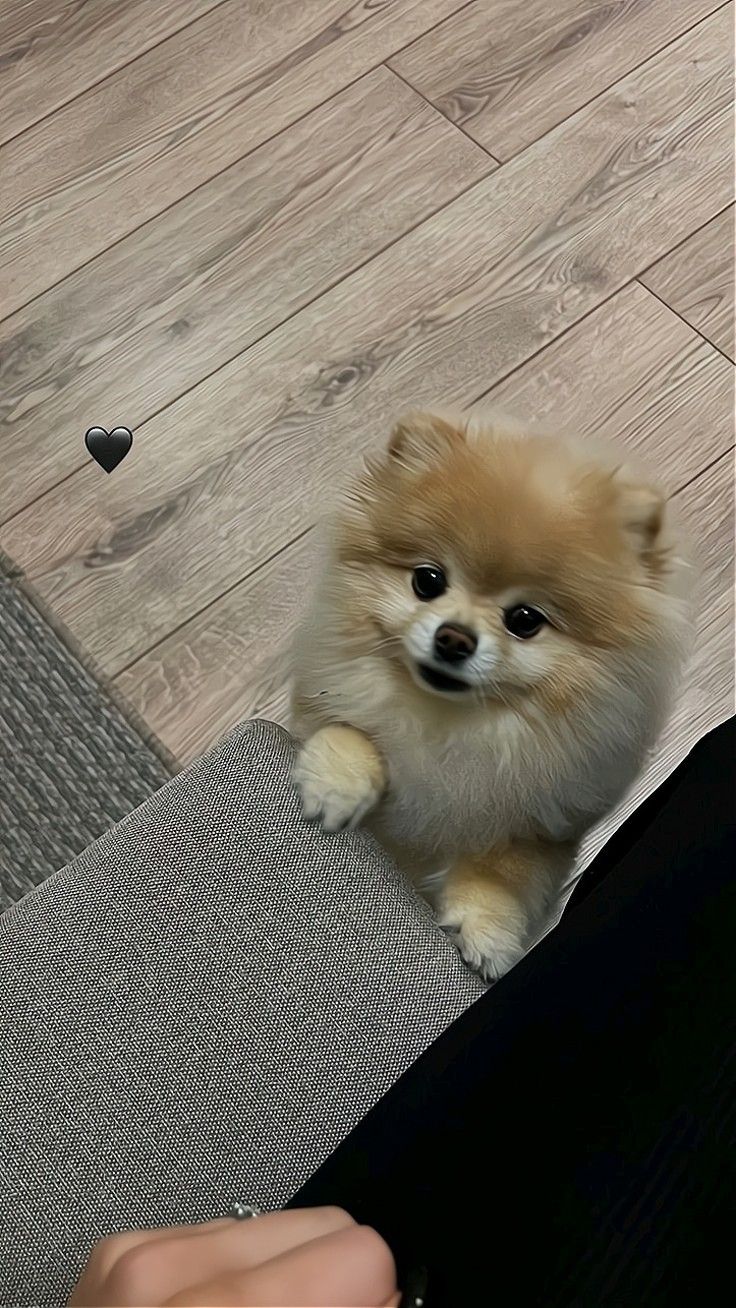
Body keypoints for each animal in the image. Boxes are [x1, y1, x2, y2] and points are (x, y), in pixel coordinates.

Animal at [292, 413, 690, 978]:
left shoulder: (547, 824)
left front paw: (488, 930)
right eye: (427, 580)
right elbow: (350, 726)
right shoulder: (324, 698)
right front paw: (337, 786)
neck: (451, 725)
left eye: (524, 620)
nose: (453, 638)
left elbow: (505, 867)